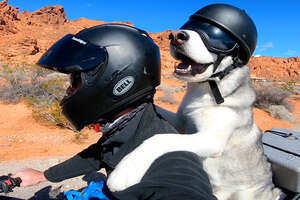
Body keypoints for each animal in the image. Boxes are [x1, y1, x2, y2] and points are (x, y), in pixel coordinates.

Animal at [108, 4, 284, 200]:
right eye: (191, 26)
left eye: (217, 37)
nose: (176, 36)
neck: (209, 89)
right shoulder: (182, 119)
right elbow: (161, 112)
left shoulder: (211, 139)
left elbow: (160, 138)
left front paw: (126, 170)